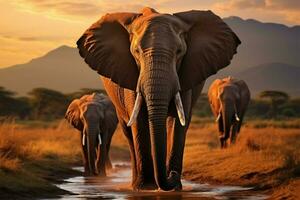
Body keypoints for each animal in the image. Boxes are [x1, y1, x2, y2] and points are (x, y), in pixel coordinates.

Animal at [77, 6, 241, 191]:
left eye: (179, 52)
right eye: (136, 52)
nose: (173, 175)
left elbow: (177, 121)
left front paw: (174, 187)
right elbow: (139, 121)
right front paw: (146, 188)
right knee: (128, 133)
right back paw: (135, 183)